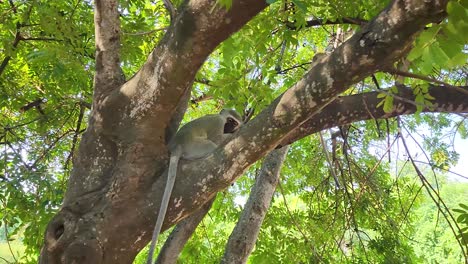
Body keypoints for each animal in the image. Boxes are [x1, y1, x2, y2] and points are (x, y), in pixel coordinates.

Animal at [146, 108, 243, 262]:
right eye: (230, 120)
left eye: (234, 123)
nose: (231, 127)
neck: (222, 121)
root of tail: (177, 145)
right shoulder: (217, 124)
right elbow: (217, 138)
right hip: (195, 146)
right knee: (212, 145)